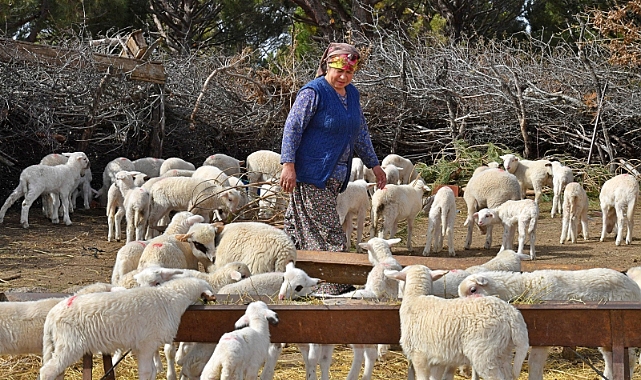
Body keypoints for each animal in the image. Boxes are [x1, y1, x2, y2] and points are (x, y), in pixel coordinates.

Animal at [38, 276, 214, 380]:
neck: (168, 298)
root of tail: (52, 315)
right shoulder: (146, 344)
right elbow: (146, 372)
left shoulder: (146, 346)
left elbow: (152, 371)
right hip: (70, 345)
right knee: (47, 371)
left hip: (60, 344)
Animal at [382, 266, 528, 380]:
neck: (415, 298)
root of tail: (511, 314)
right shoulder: (438, 359)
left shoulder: (419, 355)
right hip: (504, 351)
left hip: (485, 353)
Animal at [458, 268, 640, 380]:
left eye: (473, 290)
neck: (525, 287)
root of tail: (634, 286)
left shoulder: (544, 338)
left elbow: (534, 364)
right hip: (604, 335)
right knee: (611, 359)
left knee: (629, 359)